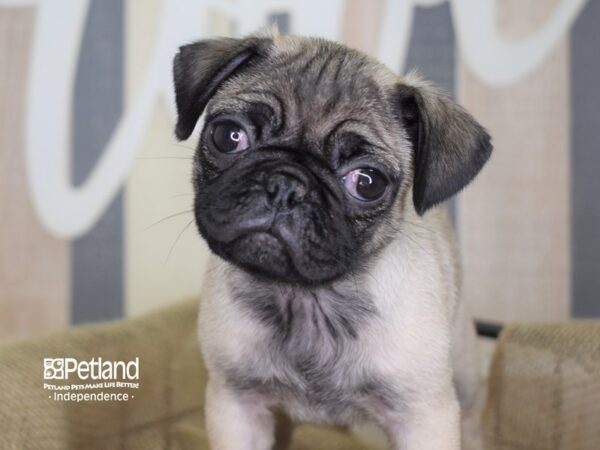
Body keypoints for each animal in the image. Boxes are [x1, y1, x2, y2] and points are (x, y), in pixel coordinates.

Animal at [171, 32, 490, 450]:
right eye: (229, 136)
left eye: (367, 182)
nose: (286, 185)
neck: (307, 299)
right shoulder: (235, 402)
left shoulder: (423, 418)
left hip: (464, 374)